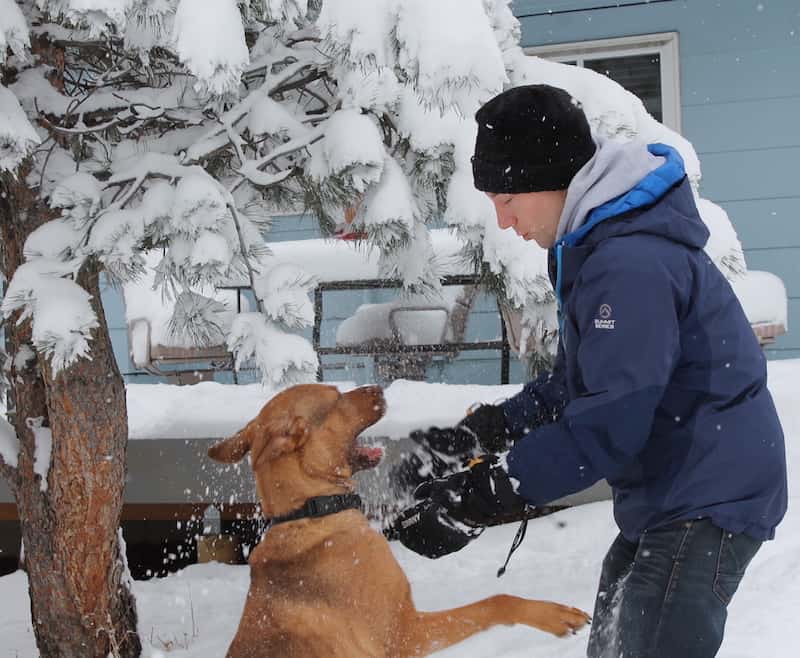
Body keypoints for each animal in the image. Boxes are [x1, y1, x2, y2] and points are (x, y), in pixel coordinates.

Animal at [209, 382, 592, 652]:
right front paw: (552, 615)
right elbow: (495, 602)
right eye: (335, 398)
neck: (311, 514)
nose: (380, 387)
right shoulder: (405, 635)